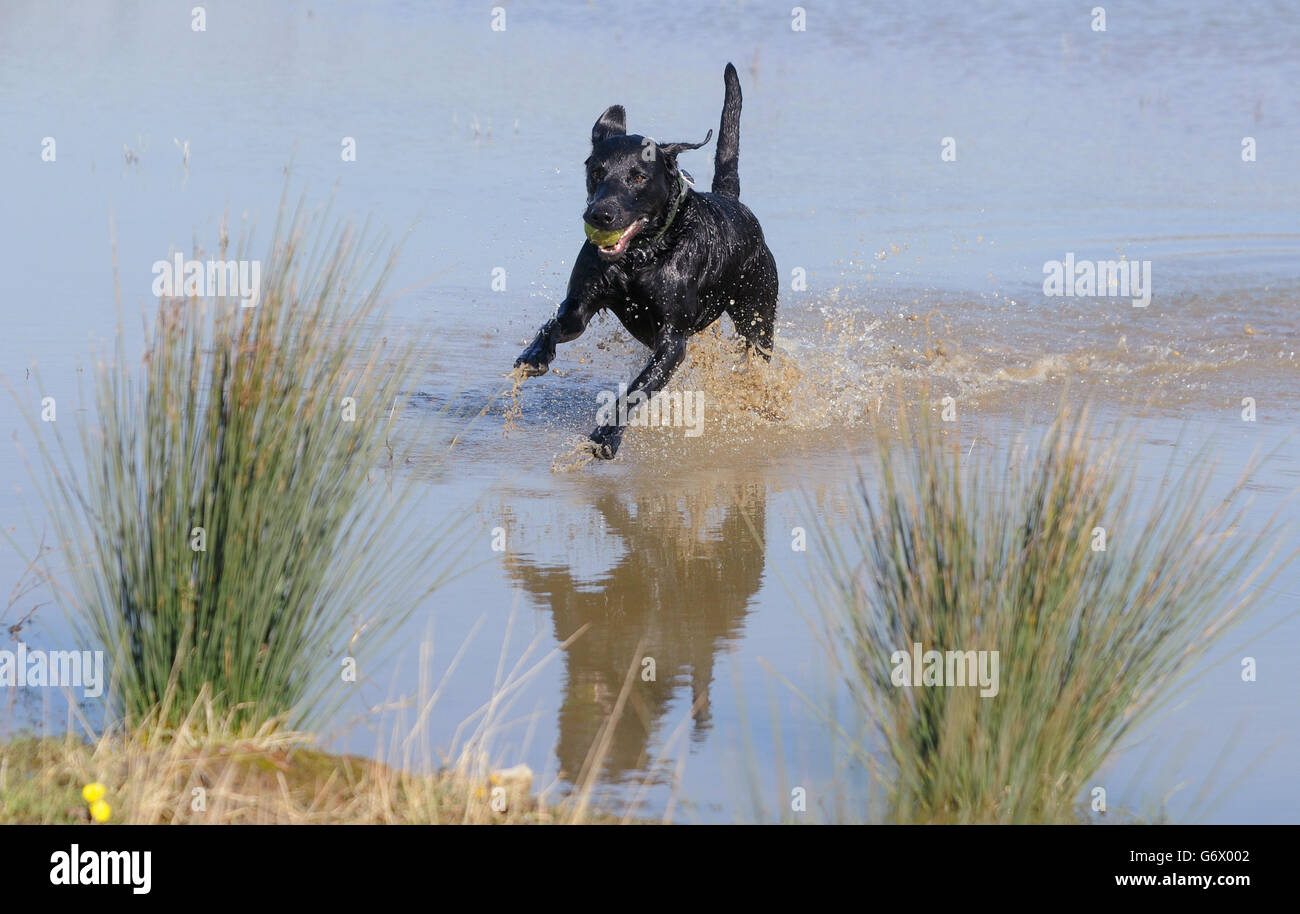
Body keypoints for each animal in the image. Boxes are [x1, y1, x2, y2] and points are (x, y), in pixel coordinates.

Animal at [512, 62, 774, 457]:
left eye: (637, 177)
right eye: (596, 172)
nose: (600, 215)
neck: (638, 259)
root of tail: (733, 201)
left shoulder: (672, 342)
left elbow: (636, 390)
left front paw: (606, 435)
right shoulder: (582, 303)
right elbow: (559, 322)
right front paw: (534, 354)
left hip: (758, 315)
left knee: (759, 352)